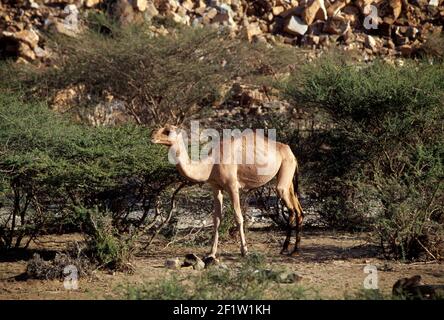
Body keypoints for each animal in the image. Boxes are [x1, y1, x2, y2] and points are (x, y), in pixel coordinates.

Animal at [151, 125, 304, 258]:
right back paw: (292, 249)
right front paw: (211, 253)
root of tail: (291, 152)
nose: (152, 137)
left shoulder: (232, 186)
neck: (210, 165)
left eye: (168, 131)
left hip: (284, 173)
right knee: (298, 210)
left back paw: (288, 249)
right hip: (288, 179)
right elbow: (217, 218)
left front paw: (244, 251)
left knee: (291, 209)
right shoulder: (215, 187)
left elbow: (238, 217)